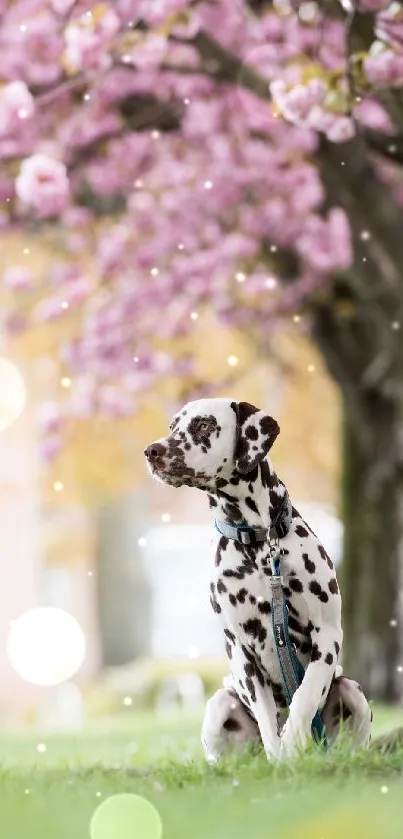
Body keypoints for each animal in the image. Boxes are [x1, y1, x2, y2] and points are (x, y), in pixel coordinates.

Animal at [144, 400, 372, 760]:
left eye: (204, 425)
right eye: (172, 427)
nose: (152, 451)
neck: (258, 541)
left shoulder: (327, 637)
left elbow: (304, 697)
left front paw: (292, 744)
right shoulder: (241, 652)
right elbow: (268, 722)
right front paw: (281, 759)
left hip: (353, 692)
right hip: (219, 704)